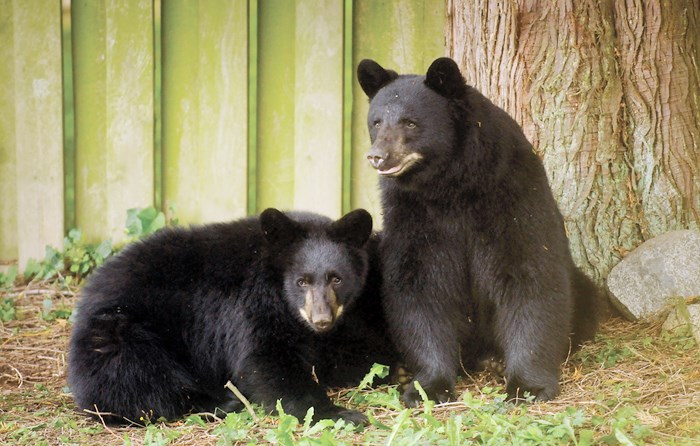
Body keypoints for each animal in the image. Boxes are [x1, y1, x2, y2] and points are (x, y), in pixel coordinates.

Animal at [68, 209, 396, 426]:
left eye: (337, 279)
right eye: (301, 281)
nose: (321, 319)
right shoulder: (248, 305)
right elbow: (264, 360)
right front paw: (339, 413)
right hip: (120, 330)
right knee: (138, 378)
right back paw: (223, 401)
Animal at [358, 57, 600, 406]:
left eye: (410, 123)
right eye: (376, 122)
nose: (377, 156)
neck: (450, 185)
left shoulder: (511, 194)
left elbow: (529, 274)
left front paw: (528, 385)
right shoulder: (411, 214)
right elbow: (419, 285)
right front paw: (428, 386)